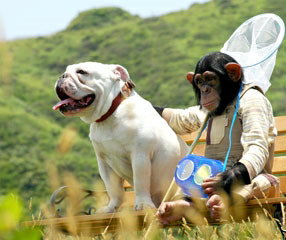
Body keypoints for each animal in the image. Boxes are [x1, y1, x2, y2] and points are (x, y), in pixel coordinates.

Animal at [155, 51, 278, 222]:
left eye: (210, 79)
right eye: (199, 81)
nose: (205, 90)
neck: (228, 101)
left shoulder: (254, 102)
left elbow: (256, 144)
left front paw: (221, 181)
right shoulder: (203, 112)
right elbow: (179, 118)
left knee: (255, 183)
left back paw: (218, 201)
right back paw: (177, 207)